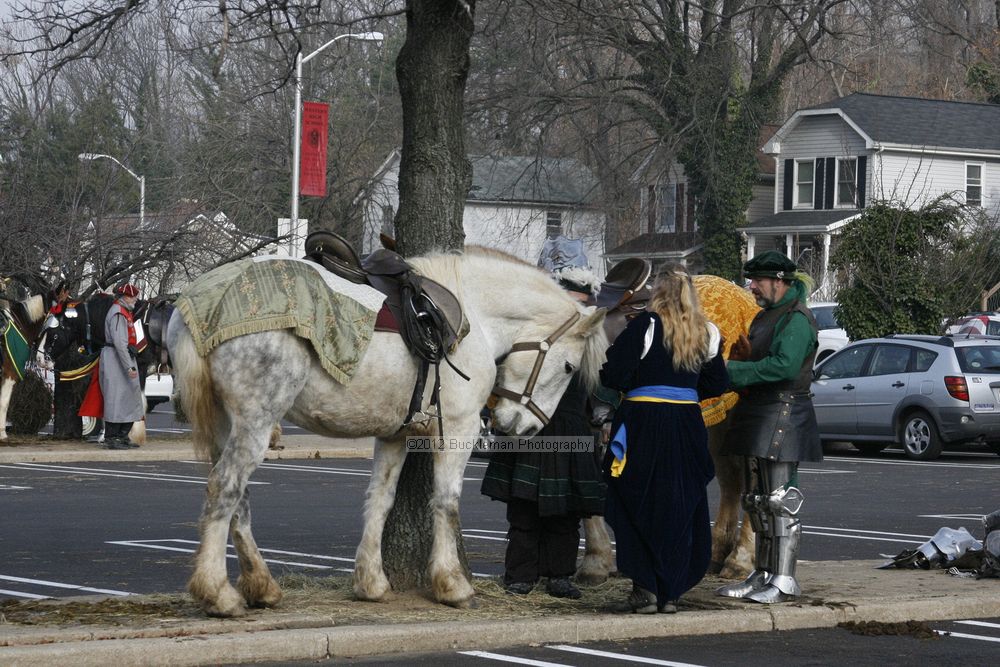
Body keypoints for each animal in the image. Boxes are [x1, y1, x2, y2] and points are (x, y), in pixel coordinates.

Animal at [168, 248, 604, 620]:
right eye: (569, 367)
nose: (524, 427)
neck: (475, 318)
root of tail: (201, 305)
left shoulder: (396, 435)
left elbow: (380, 499)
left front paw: (371, 582)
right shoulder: (458, 430)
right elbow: (446, 502)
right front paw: (452, 585)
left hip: (228, 424)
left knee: (237, 498)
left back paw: (261, 586)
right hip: (256, 420)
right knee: (225, 487)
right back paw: (218, 593)